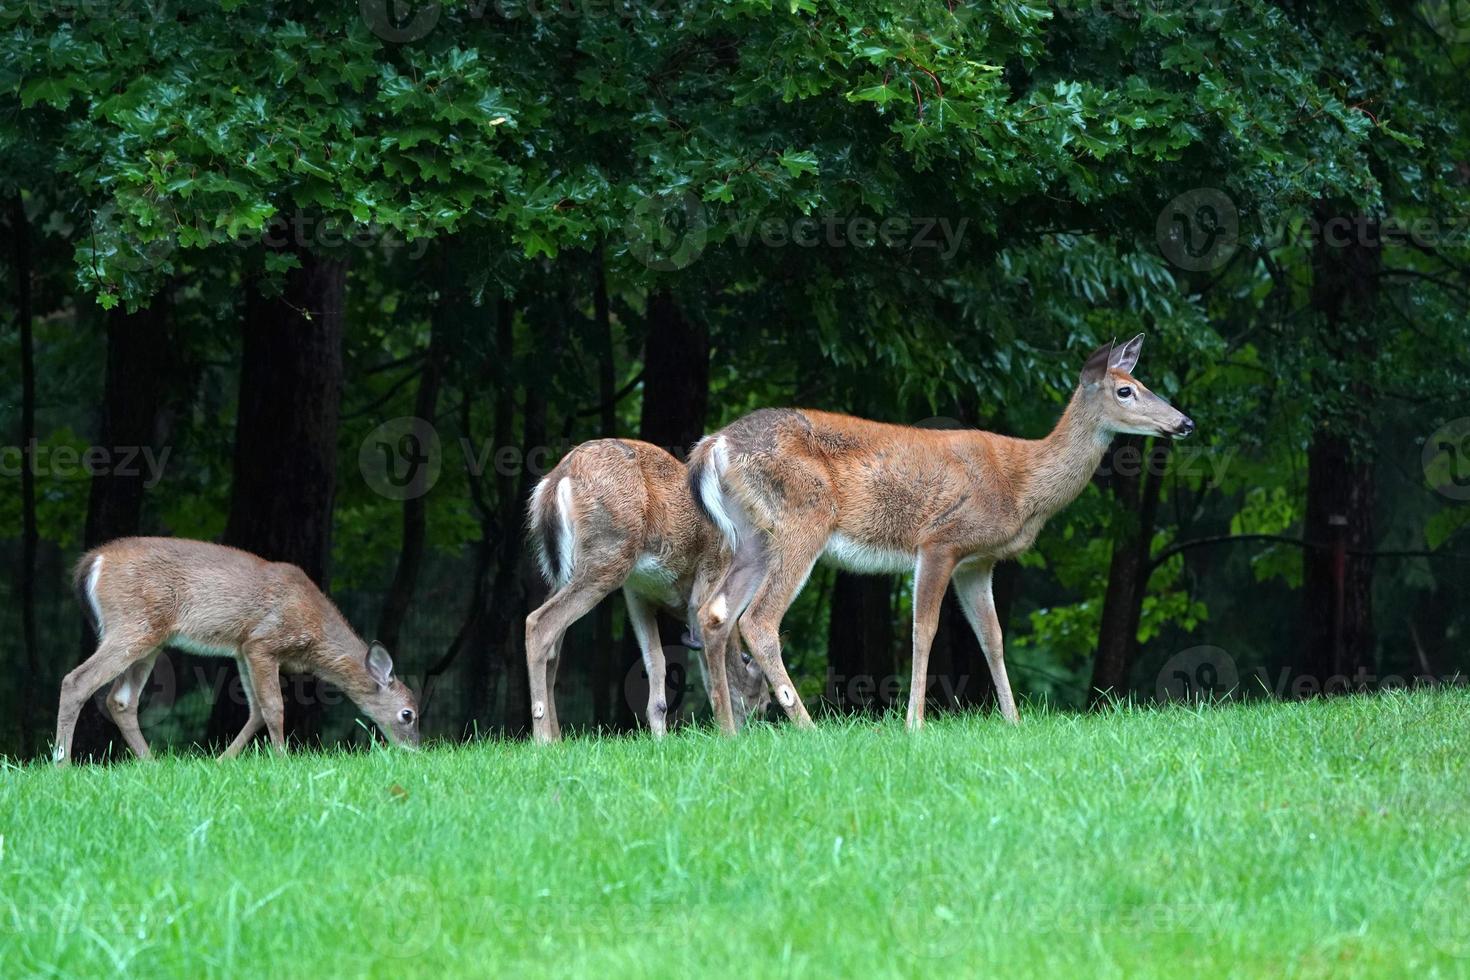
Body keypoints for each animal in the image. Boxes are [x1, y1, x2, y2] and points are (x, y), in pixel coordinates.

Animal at [53, 537, 420, 764]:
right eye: (408, 714)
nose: (416, 750)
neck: (315, 635)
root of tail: (93, 561)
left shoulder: (242, 648)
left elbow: (255, 710)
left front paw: (222, 760)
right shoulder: (264, 642)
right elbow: (274, 706)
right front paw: (282, 759)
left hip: (150, 639)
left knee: (121, 700)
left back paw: (152, 763)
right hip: (132, 624)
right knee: (76, 680)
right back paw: (63, 764)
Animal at [532, 437, 782, 743]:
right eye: (764, 704)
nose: (753, 731)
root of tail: (557, 478)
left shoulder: (636, 594)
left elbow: (656, 661)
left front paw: (659, 737)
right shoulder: (708, 577)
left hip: (562, 571)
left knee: (553, 650)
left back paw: (557, 738)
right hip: (608, 555)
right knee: (539, 623)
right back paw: (542, 739)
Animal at [690, 333, 1193, 731]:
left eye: (1145, 385)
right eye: (1126, 390)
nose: (1184, 422)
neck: (1021, 484)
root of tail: (714, 444)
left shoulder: (979, 562)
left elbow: (992, 637)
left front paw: (1013, 720)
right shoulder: (940, 540)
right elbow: (923, 629)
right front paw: (914, 722)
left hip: (754, 537)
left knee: (714, 613)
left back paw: (728, 732)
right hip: (802, 522)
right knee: (759, 620)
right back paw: (808, 728)